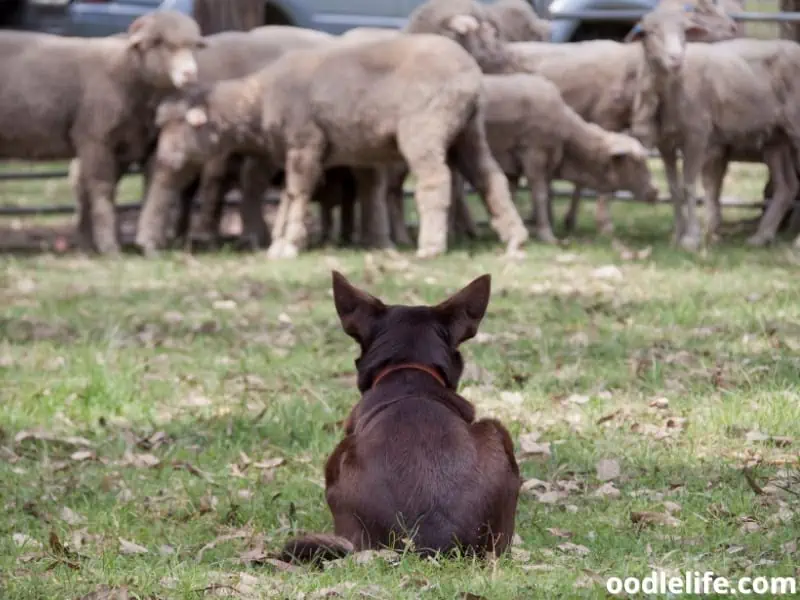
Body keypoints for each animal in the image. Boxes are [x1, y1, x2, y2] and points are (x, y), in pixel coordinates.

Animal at [0, 11, 203, 255]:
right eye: (159, 42)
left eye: (194, 46)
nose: (190, 73)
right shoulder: (95, 139)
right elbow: (101, 188)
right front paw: (108, 246)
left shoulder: (133, 143)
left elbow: (152, 188)